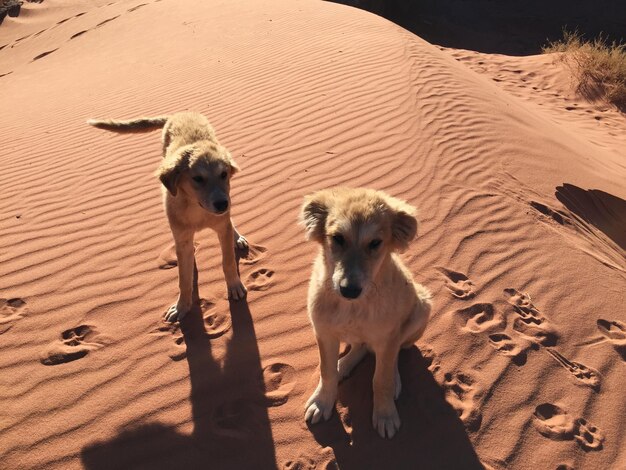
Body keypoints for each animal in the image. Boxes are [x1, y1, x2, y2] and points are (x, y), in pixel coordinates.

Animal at [89, 111, 247, 324]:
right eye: (197, 179)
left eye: (224, 174)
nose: (222, 204)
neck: (197, 209)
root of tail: (180, 112)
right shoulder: (183, 239)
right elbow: (183, 279)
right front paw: (182, 306)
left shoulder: (222, 226)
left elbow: (228, 261)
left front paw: (234, 285)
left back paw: (236, 237)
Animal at [300, 186, 432, 436]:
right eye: (337, 238)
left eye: (375, 243)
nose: (349, 289)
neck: (353, 306)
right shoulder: (324, 333)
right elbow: (326, 371)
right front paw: (323, 401)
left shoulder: (387, 338)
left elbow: (381, 380)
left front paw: (385, 413)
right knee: (360, 346)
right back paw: (343, 365)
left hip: (422, 307)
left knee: (395, 352)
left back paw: (394, 378)